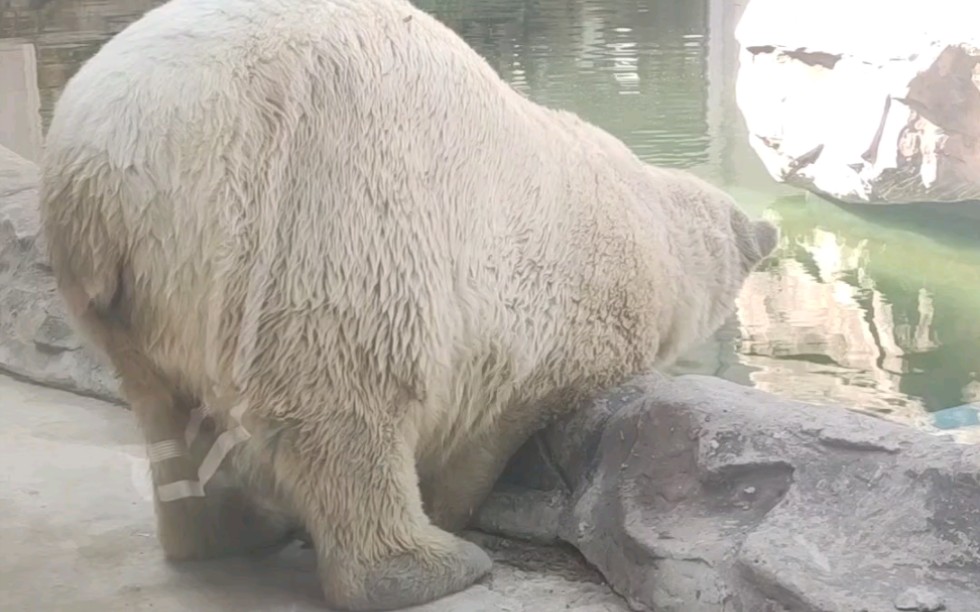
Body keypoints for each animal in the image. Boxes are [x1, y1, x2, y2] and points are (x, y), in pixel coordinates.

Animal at [38, 0, 776, 608]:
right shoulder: (553, 317)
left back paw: (233, 530)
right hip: (314, 210)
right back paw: (430, 564)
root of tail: (99, 171)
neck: (647, 228)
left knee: (165, 409)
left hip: (139, 294)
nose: (766, 231)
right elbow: (496, 422)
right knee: (347, 402)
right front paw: (455, 505)